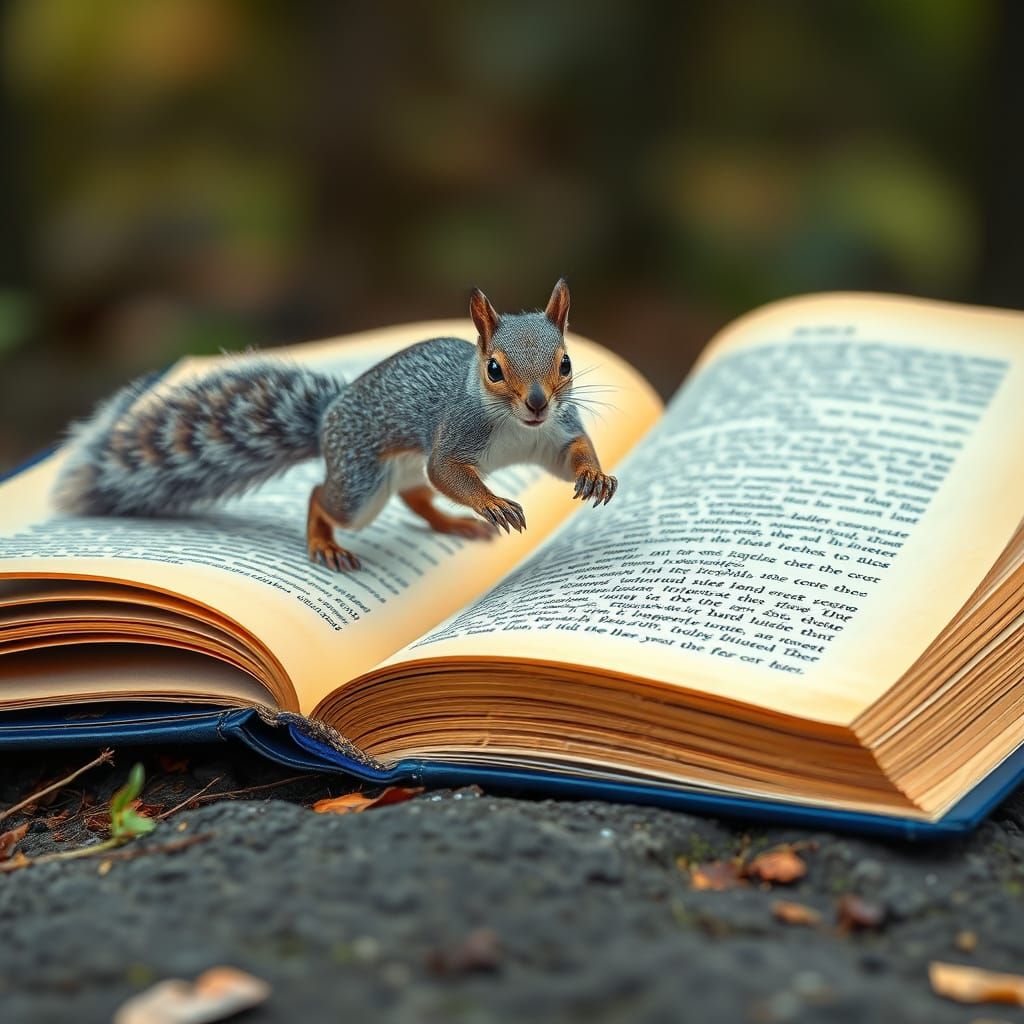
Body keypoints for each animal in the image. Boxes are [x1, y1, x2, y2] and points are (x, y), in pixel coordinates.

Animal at [54, 279, 617, 572]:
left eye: (566, 362)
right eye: (494, 369)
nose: (537, 403)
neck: (520, 429)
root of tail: (328, 416)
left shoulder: (556, 433)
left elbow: (573, 453)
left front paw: (595, 475)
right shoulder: (454, 433)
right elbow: (447, 472)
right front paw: (492, 503)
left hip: (393, 473)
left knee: (416, 494)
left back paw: (452, 524)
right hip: (360, 484)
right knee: (323, 496)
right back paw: (324, 542)